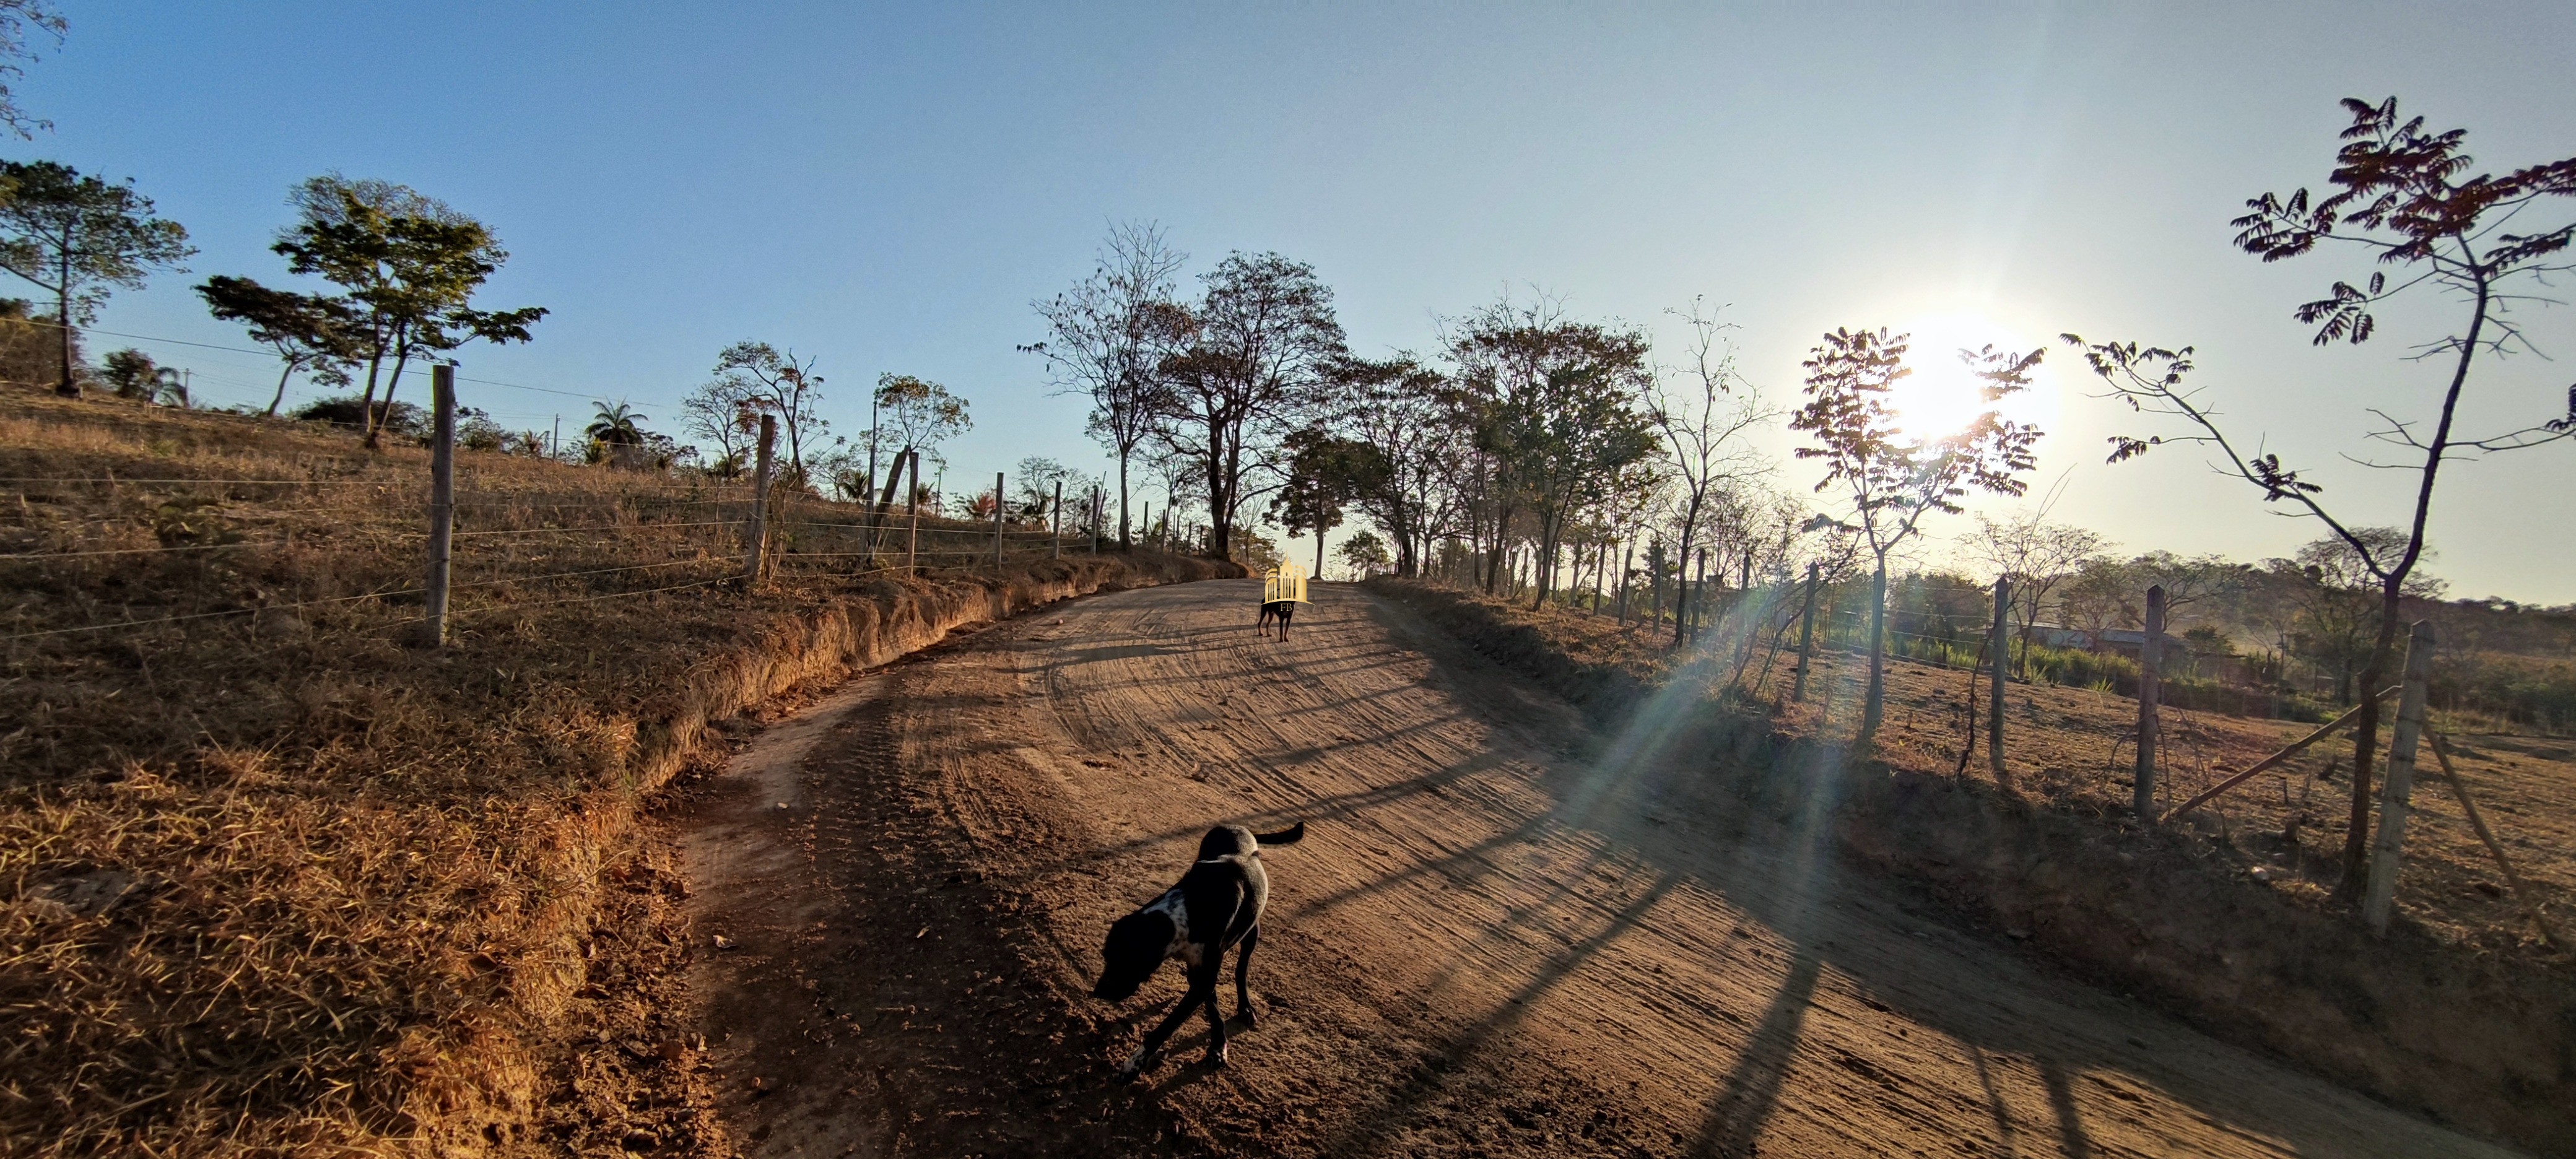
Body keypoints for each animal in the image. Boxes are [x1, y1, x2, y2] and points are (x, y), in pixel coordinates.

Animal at [1097, 818, 1318, 1071]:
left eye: (1127, 962)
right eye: (1106, 957)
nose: (1098, 992)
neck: (1190, 910)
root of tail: (1241, 828)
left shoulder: (1205, 974)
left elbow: (1167, 1026)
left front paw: (1135, 1063)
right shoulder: (1201, 973)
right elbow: (1211, 1003)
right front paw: (1218, 1043)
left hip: (1252, 933)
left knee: (1241, 970)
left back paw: (1245, 1006)